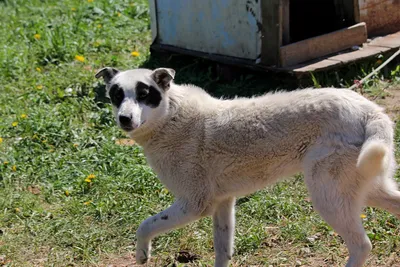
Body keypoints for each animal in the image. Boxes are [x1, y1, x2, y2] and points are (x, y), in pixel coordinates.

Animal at [95, 67, 398, 267]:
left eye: (144, 94)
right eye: (116, 95)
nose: (124, 119)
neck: (172, 116)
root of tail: (370, 111)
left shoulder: (194, 204)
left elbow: (145, 225)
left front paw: (142, 253)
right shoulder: (223, 204)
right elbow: (222, 251)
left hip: (328, 195)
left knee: (361, 245)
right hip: (362, 187)